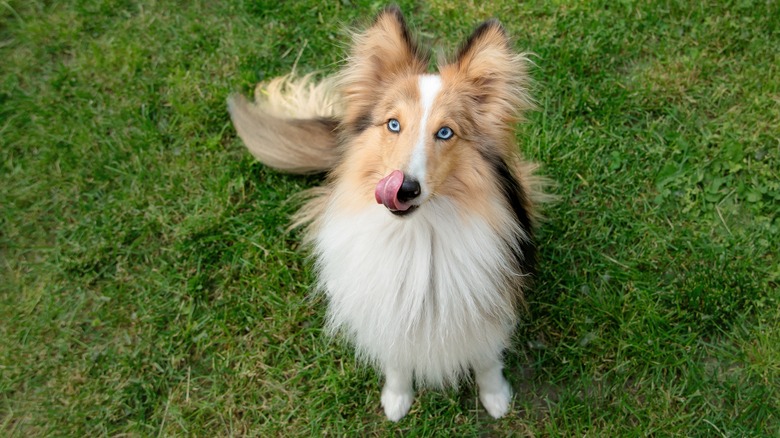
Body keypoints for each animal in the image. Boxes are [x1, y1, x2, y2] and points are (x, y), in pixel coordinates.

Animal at [225, 6, 544, 420]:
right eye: (393, 124)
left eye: (445, 132)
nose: (404, 189)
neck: (419, 233)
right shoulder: (385, 308)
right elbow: (395, 357)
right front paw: (396, 399)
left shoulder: (487, 301)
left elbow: (487, 357)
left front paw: (495, 397)